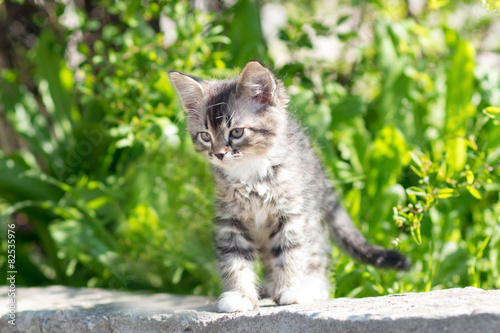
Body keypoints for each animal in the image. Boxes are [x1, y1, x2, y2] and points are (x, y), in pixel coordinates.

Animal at [169, 60, 410, 312]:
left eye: (236, 132)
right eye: (206, 136)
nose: (218, 154)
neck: (251, 175)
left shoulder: (291, 214)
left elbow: (290, 253)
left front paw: (290, 289)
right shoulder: (230, 220)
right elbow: (235, 260)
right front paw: (240, 295)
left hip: (311, 215)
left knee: (318, 254)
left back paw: (312, 285)